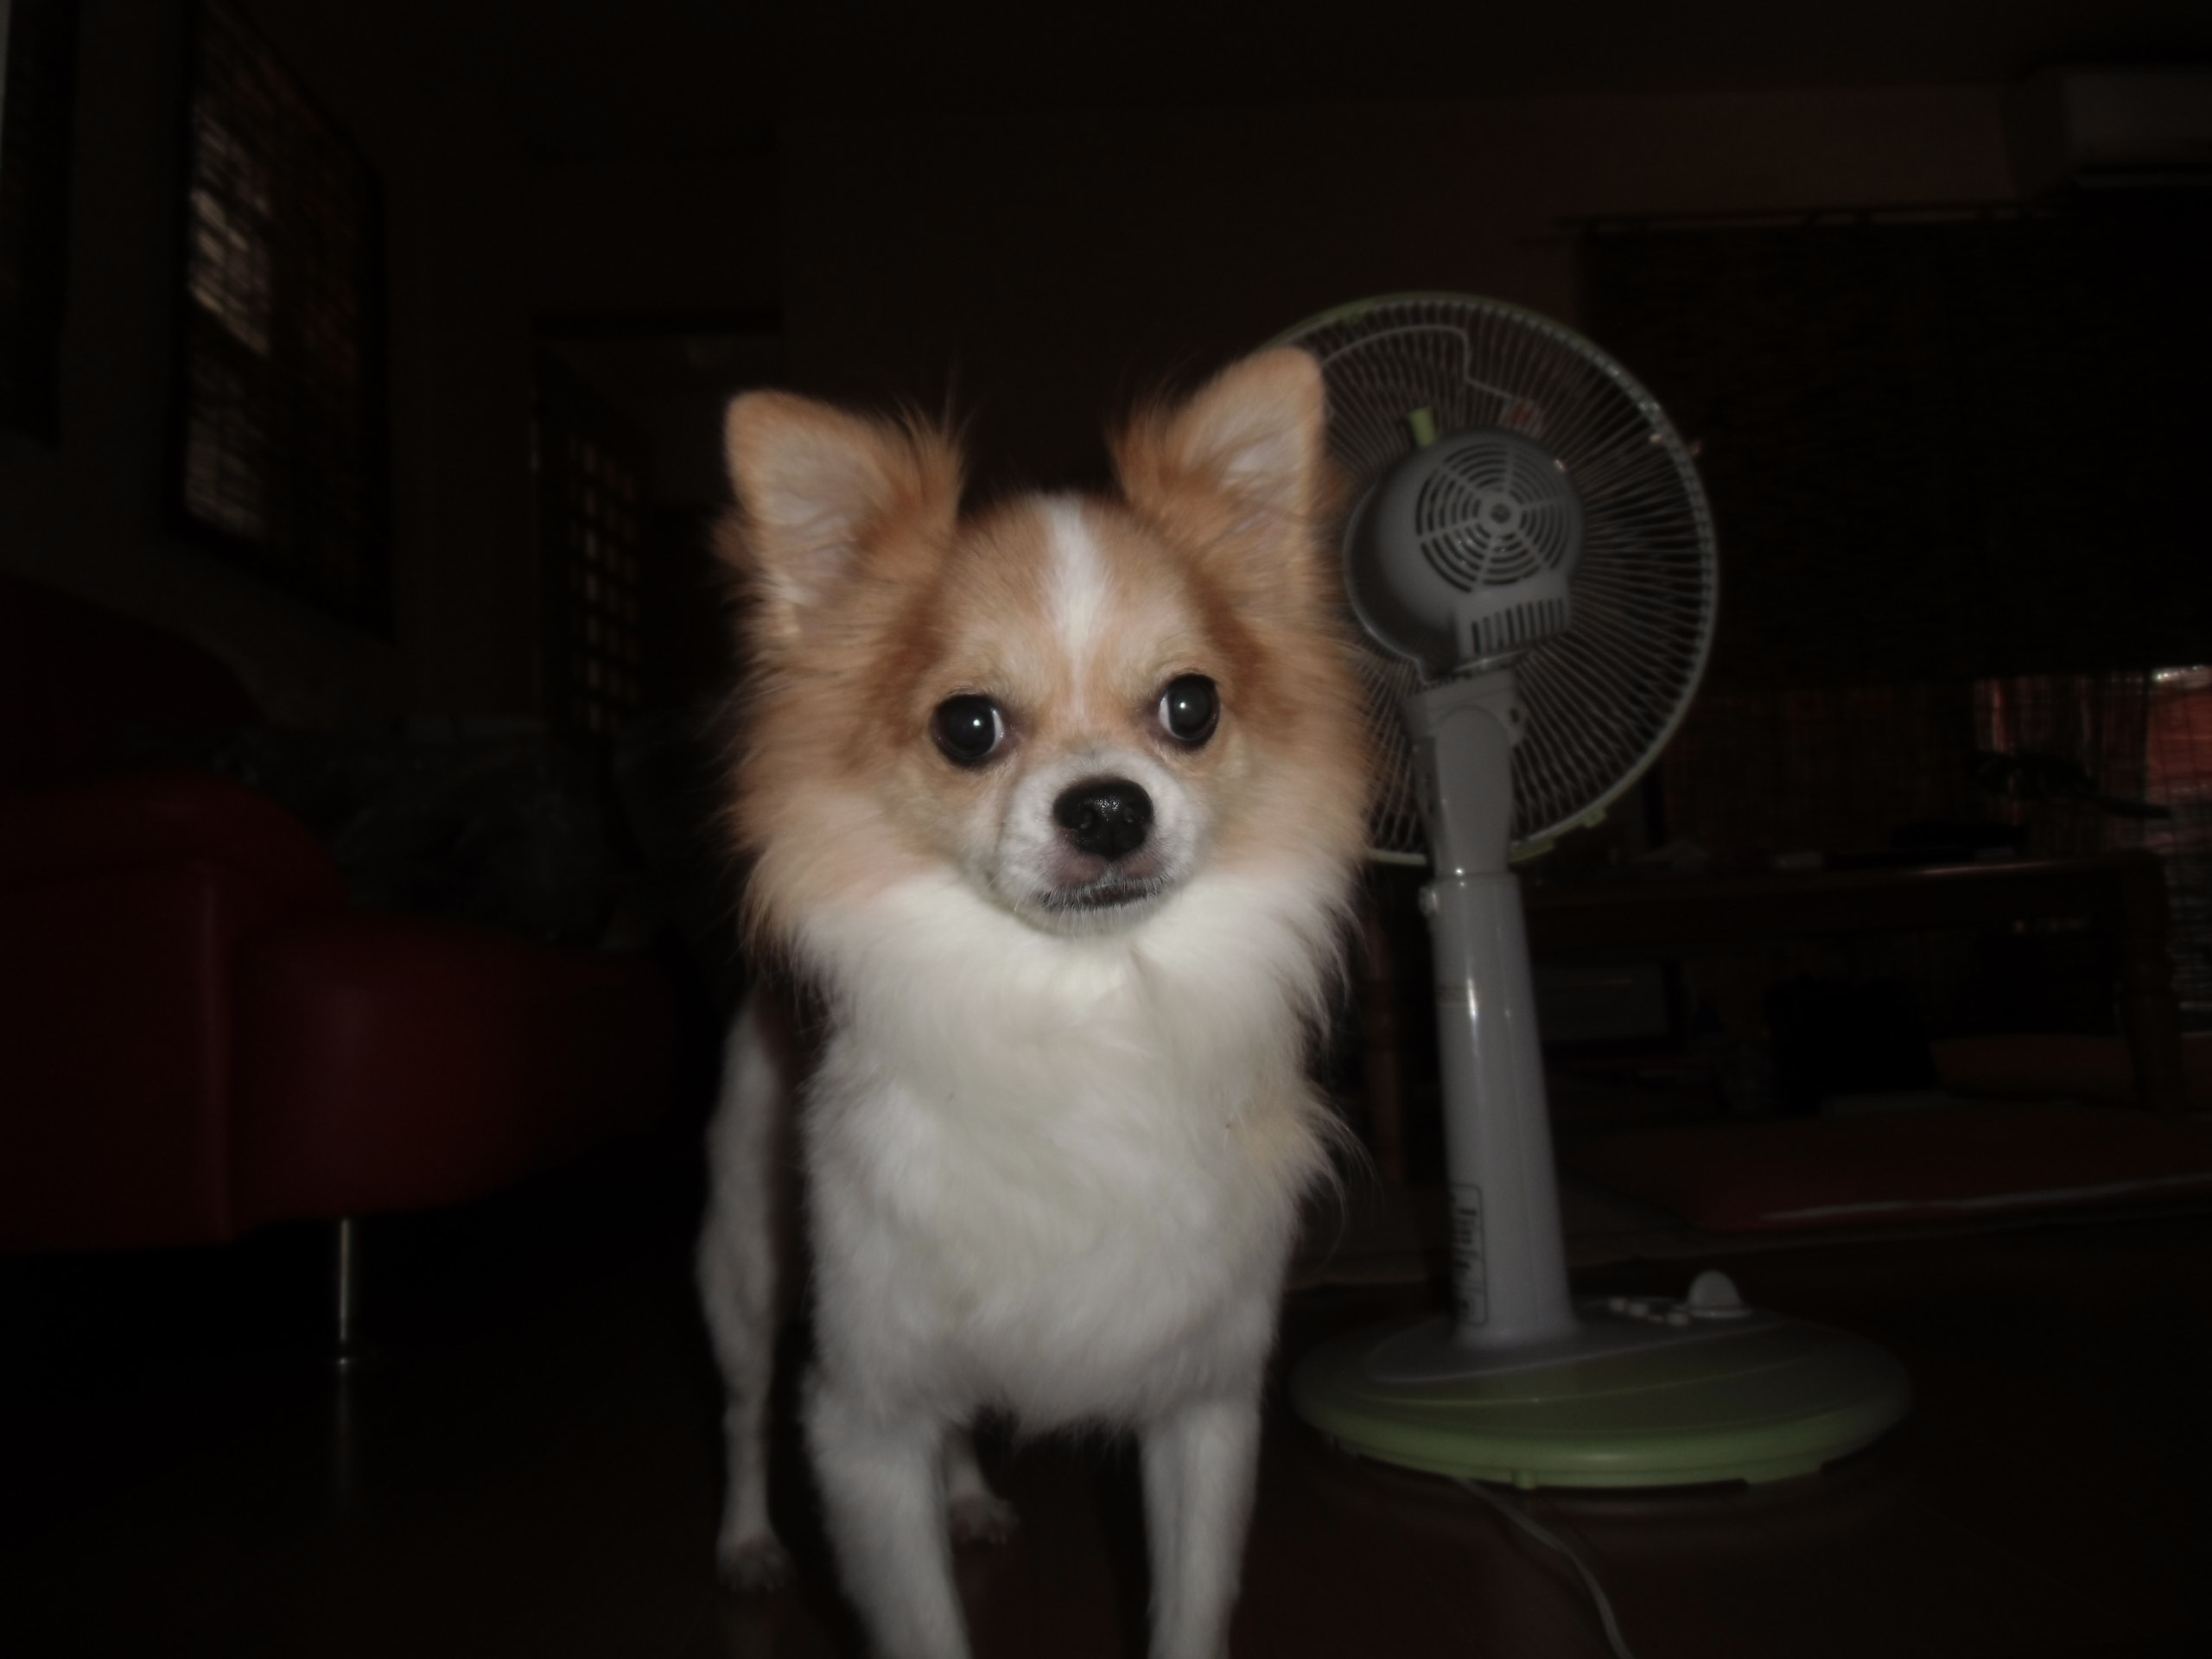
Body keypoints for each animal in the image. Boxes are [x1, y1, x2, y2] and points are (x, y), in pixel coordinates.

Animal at [696, 347, 1371, 1659]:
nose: (1108, 805)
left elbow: (1188, 1612)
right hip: (745, 1268)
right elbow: (918, 1620)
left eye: (1190, 707)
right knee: (742, 1412)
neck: (1083, 1011)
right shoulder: (862, 1423)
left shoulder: (1203, 1406)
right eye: (968, 727)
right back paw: (745, 1542)